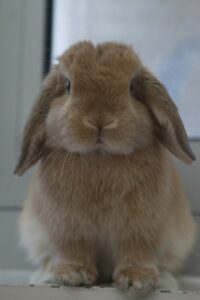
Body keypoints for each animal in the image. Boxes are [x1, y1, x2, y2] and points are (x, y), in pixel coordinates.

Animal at [14, 41, 196, 296]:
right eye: (68, 85)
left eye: (131, 87)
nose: (100, 120)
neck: (101, 157)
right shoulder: (68, 230)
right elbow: (72, 250)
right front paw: (73, 275)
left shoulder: (139, 230)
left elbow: (137, 252)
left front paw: (137, 281)